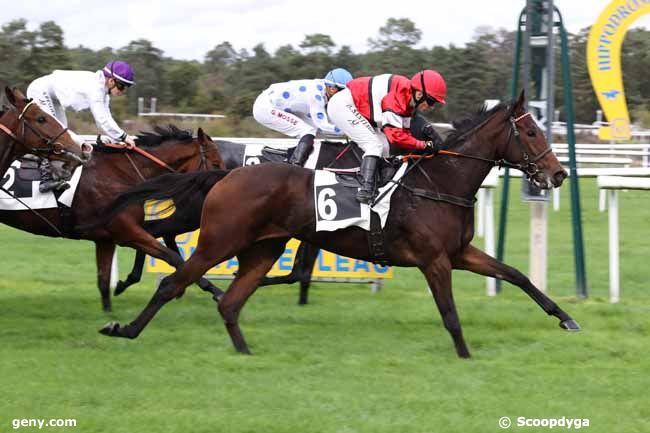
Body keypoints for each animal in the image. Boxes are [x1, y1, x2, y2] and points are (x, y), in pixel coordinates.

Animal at [0, 125, 224, 310]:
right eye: (215, 163)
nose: (222, 189)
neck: (120, 173)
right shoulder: (125, 231)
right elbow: (173, 257)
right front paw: (216, 291)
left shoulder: (106, 238)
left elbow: (104, 280)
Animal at [92, 91, 576, 358]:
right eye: (530, 133)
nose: (558, 174)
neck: (438, 182)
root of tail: (227, 174)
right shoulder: (435, 260)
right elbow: (450, 313)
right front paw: (465, 354)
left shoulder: (458, 253)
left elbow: (515, 274)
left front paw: (565, 318)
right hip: (219, 240)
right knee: (172, 281)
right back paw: (125, 327)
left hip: (263, 247)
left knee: (230, 301)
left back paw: (245, 351)